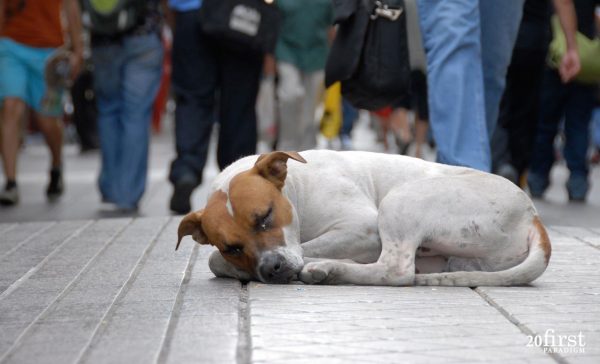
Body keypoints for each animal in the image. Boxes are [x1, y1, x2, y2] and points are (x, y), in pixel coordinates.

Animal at [176, 149, 552, 286]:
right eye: (233, 247)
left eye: (265, 216)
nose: (272, 269)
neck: (298, 187)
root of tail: (532, 215)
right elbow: (214, 259)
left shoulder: (363, 227)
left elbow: (307, 247)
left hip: (402, 199)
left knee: (396, 271)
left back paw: (329, 269)